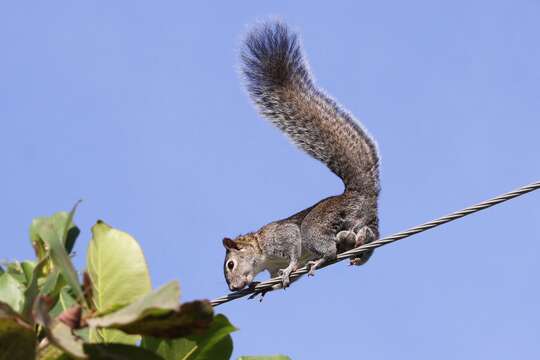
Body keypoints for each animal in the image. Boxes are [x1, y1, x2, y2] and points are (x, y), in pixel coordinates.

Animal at [220, 21, 380, 292]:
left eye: (231, 264)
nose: (232, 288)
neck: (263, 253)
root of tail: (359, 193)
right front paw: (267, 288)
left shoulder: (284, 236)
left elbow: (294, 254)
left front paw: (289, 270)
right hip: (366, 224)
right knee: (368, 237)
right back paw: (357, 248)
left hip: (316, 226)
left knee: (327, 248)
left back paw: (326, 256)